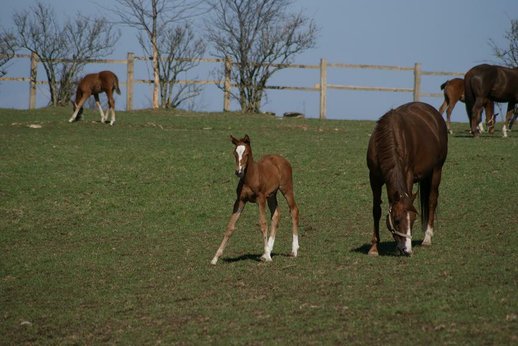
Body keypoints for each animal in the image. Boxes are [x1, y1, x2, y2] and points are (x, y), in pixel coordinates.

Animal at [211, 134, 300, 264]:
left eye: (247, 153)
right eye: (234, 153)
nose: (238, 172)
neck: (250, 177)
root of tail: (282, 159)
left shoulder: (261, 199)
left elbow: (263, 223)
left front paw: (267, 256)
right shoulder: (240, 201)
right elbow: (230, 226)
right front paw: (215, 257)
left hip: (286, 188)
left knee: (294, 210)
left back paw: (294, 250)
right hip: (271, 195)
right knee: (276, 215)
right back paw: (267, 250)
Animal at [368, 101, 448, 255]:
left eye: (413, 219)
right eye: (397, 220)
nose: (407, 250)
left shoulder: (408, 174)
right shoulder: (374, 178)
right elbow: (376, 210)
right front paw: (374, 248)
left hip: (437, 170)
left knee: (432, 200)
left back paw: (427, 238)